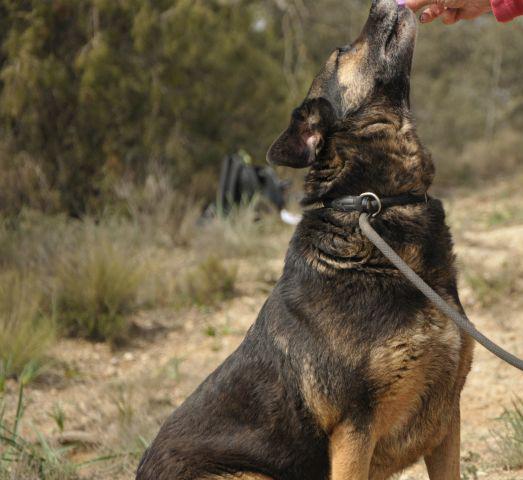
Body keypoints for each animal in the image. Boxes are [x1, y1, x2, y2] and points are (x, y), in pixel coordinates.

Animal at [137, 0, 472, 478]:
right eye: (340, 52)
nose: (376, 5)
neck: (373, 207)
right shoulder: (354, 429)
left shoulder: (446, 418)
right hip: (248, 473)